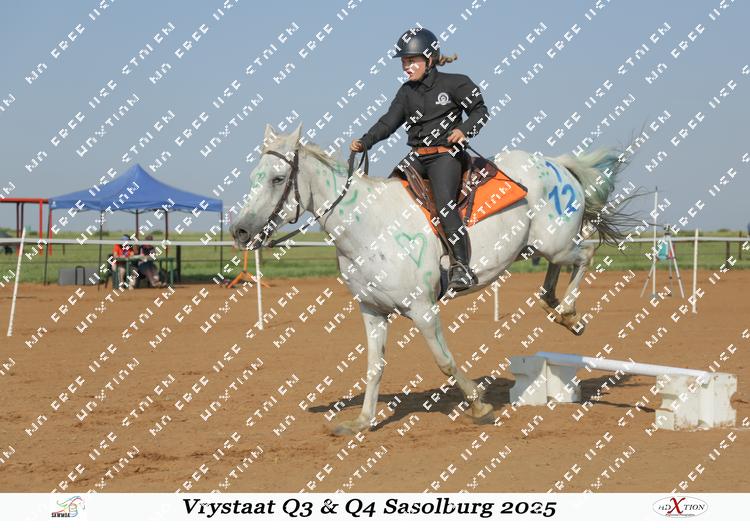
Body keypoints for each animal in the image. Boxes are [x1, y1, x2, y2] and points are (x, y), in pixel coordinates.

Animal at [229, 123, 631, 436]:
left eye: (278, 178)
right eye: (252, 178)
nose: (239, 231)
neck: (369, 225)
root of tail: (556, 164)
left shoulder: (422, 310)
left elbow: (444, 361)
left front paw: (479, 405)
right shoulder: (372, 310)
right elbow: (373, 367)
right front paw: (362, 421)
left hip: (557, 244)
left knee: (585, 255)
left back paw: (569, 313)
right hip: (538, 248)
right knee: (557, 272)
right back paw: (556, 307)